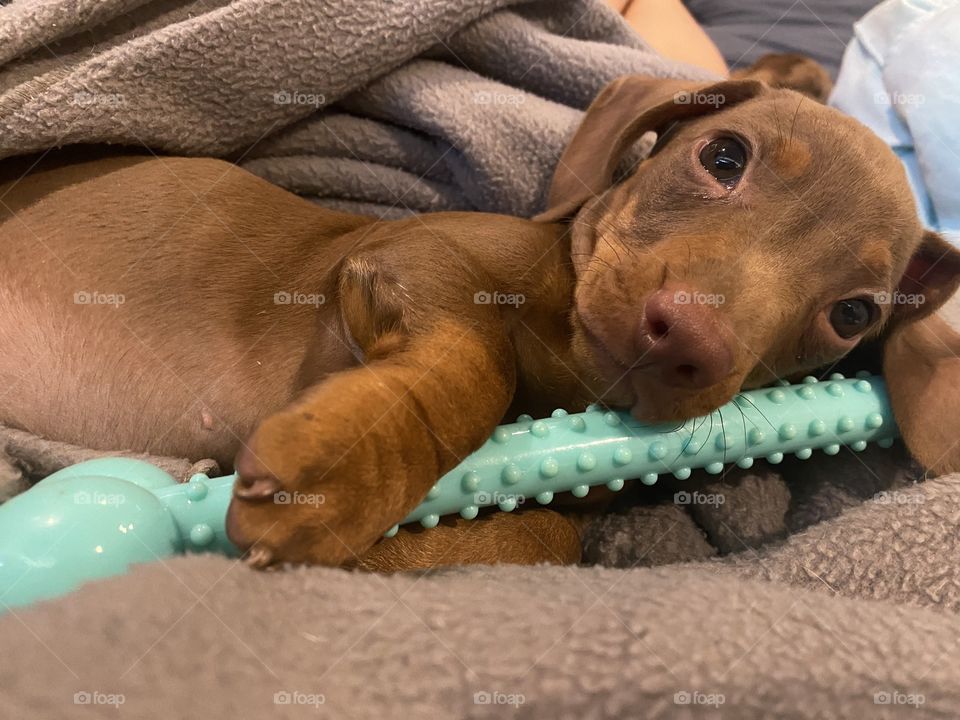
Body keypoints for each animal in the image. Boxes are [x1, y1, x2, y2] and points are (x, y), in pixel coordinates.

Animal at [1, 76, 960, 572]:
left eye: (851, 313)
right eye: (724, 157)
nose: (688, 341)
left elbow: (549, 530)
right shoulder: (412, 260)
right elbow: (474, 366)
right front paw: (349, 472)